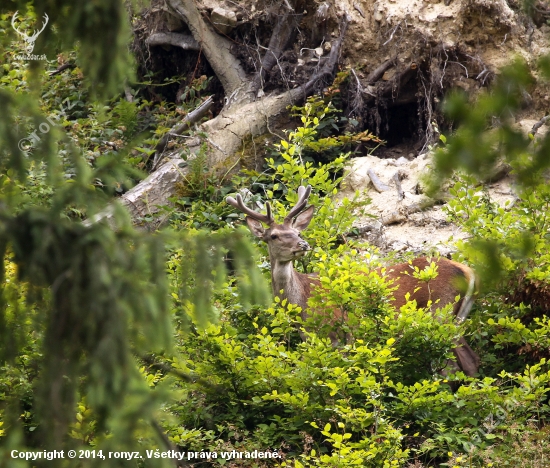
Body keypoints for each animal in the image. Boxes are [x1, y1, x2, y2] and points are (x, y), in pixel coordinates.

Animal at [226, 186, 480, 376]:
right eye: (274, 236)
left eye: (297, 233)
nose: (303, 244)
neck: (302, 305)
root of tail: (467, 272)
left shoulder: (339, 336)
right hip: (457, 319)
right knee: (472, 361)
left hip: (440, 312)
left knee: (453, 366)